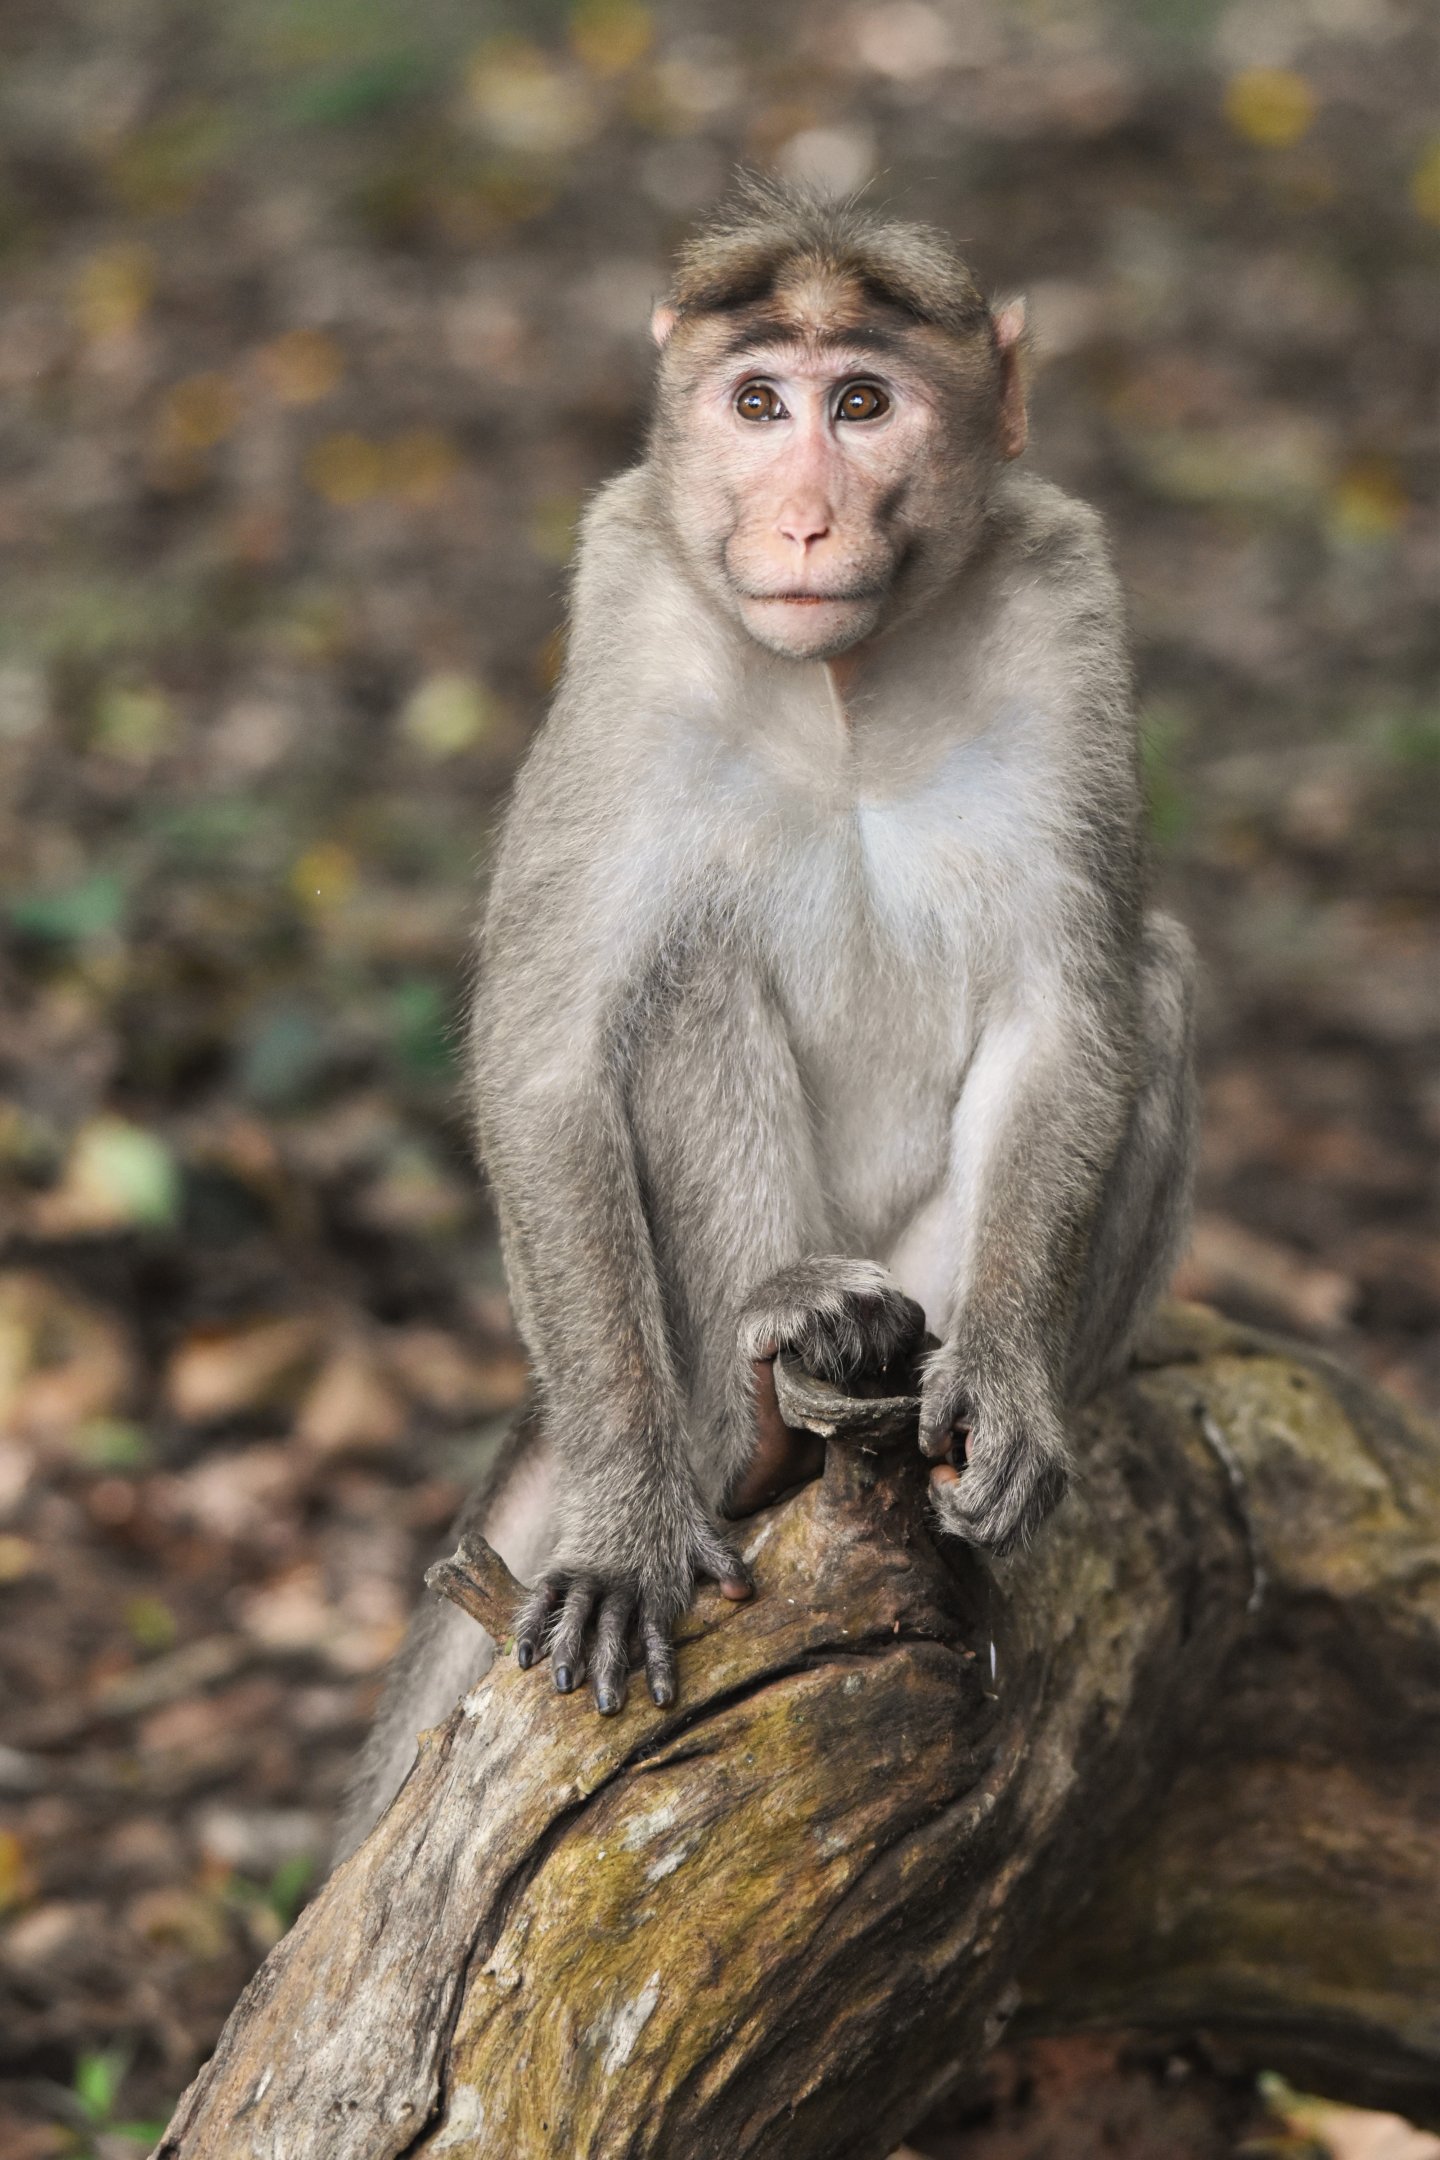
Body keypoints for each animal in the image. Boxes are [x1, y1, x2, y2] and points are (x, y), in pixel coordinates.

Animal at [333, 179, 1197, 1864]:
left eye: (861, 403)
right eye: (756, 404)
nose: (802, 518)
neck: (843, 691)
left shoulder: (1070, 610)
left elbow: (1075, 1015)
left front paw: (1009, 1386)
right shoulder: (626, 623)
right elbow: (553, 1056)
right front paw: (622, 1527)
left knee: (1163, 980)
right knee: (683, 983)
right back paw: (758, 1400)